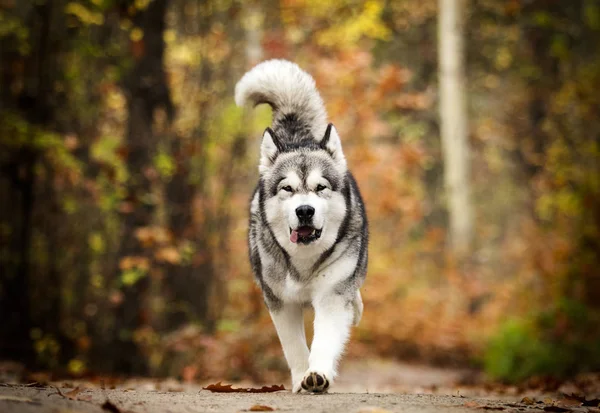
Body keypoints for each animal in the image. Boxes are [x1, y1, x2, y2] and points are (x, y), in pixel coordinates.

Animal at [233, 59, 366, 392]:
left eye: (320, 187)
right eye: (288, 189)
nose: (304, 211)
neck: (304, 263)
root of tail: (296, 138)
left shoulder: (333, 295)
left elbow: (326, 339)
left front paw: (317, 374)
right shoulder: (280, 301)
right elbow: (293, 347)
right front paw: (300, 379)